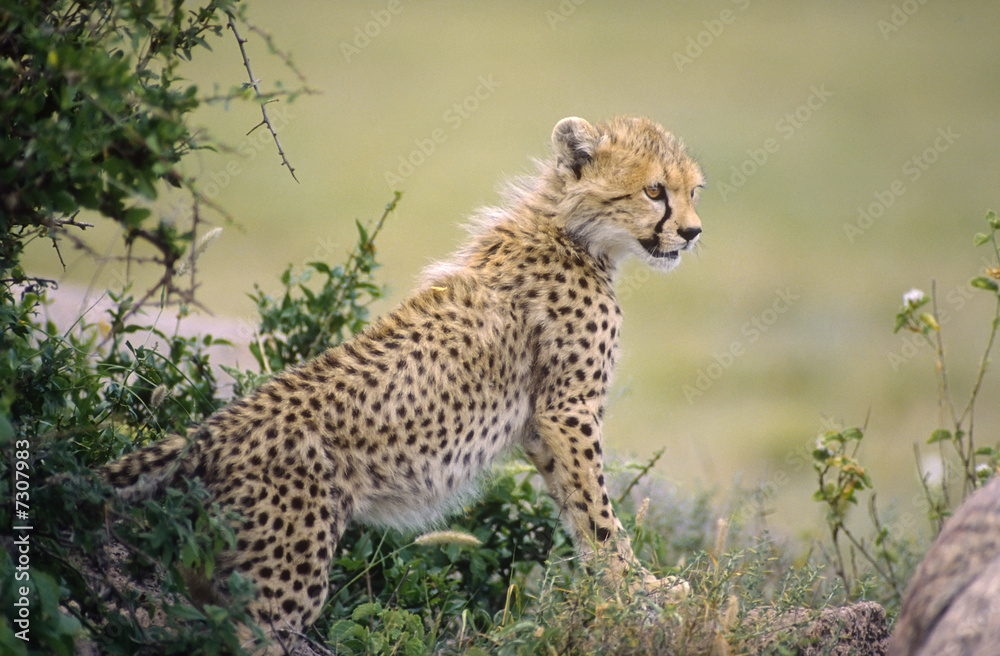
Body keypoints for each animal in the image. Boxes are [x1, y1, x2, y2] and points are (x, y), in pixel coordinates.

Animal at [101, 115, 705, 651]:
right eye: (654, 190)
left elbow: (577, 507)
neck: (571, 229)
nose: (693, 232)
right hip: (283, 575)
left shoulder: (542, 426)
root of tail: (217, 426)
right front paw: (641, 591)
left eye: (693, 191)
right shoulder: (567, 410)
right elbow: (600, 511)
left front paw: (614, 588)